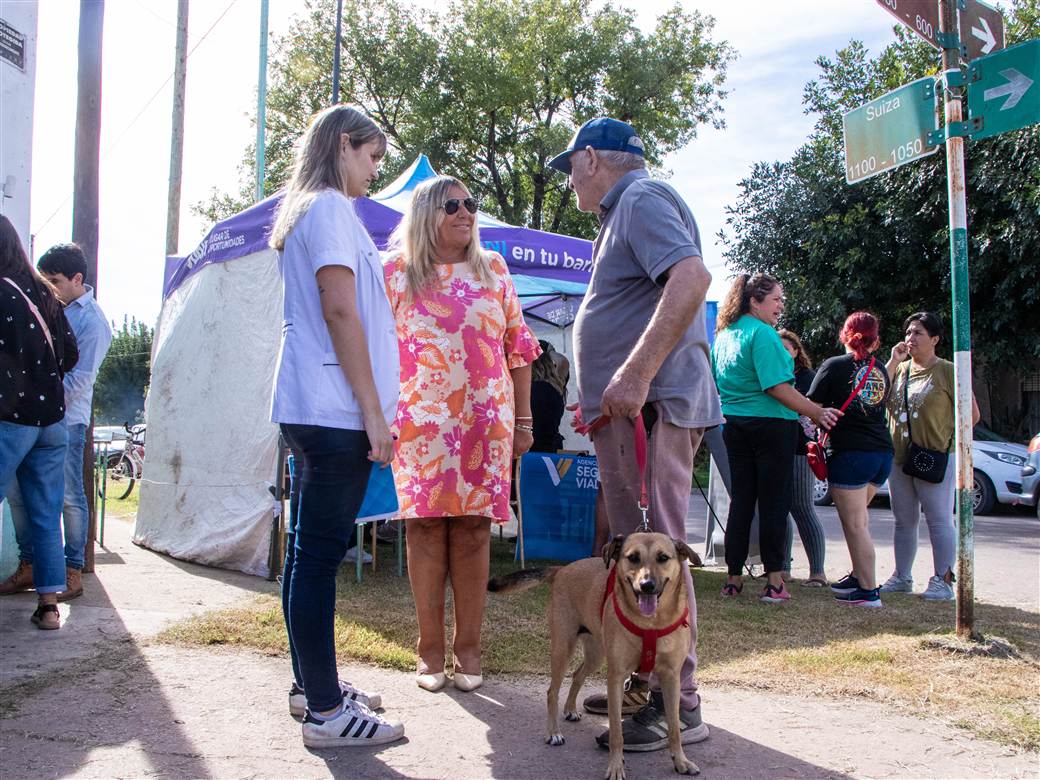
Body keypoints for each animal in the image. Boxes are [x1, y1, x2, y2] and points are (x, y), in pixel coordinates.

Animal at [484, 536, 698, 780]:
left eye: (663, 557)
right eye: (633, 557)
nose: (647, 585)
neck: (651, 624)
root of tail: (562, 569)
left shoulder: (671, 678)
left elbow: (674, 728)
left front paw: (681, 761)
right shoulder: (615, 678)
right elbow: (616, 733)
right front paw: (615, 767)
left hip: (597, 654)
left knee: (577, 675)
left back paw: (570, 709)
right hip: (563, 648)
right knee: (552, 692)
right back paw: (553, 732)